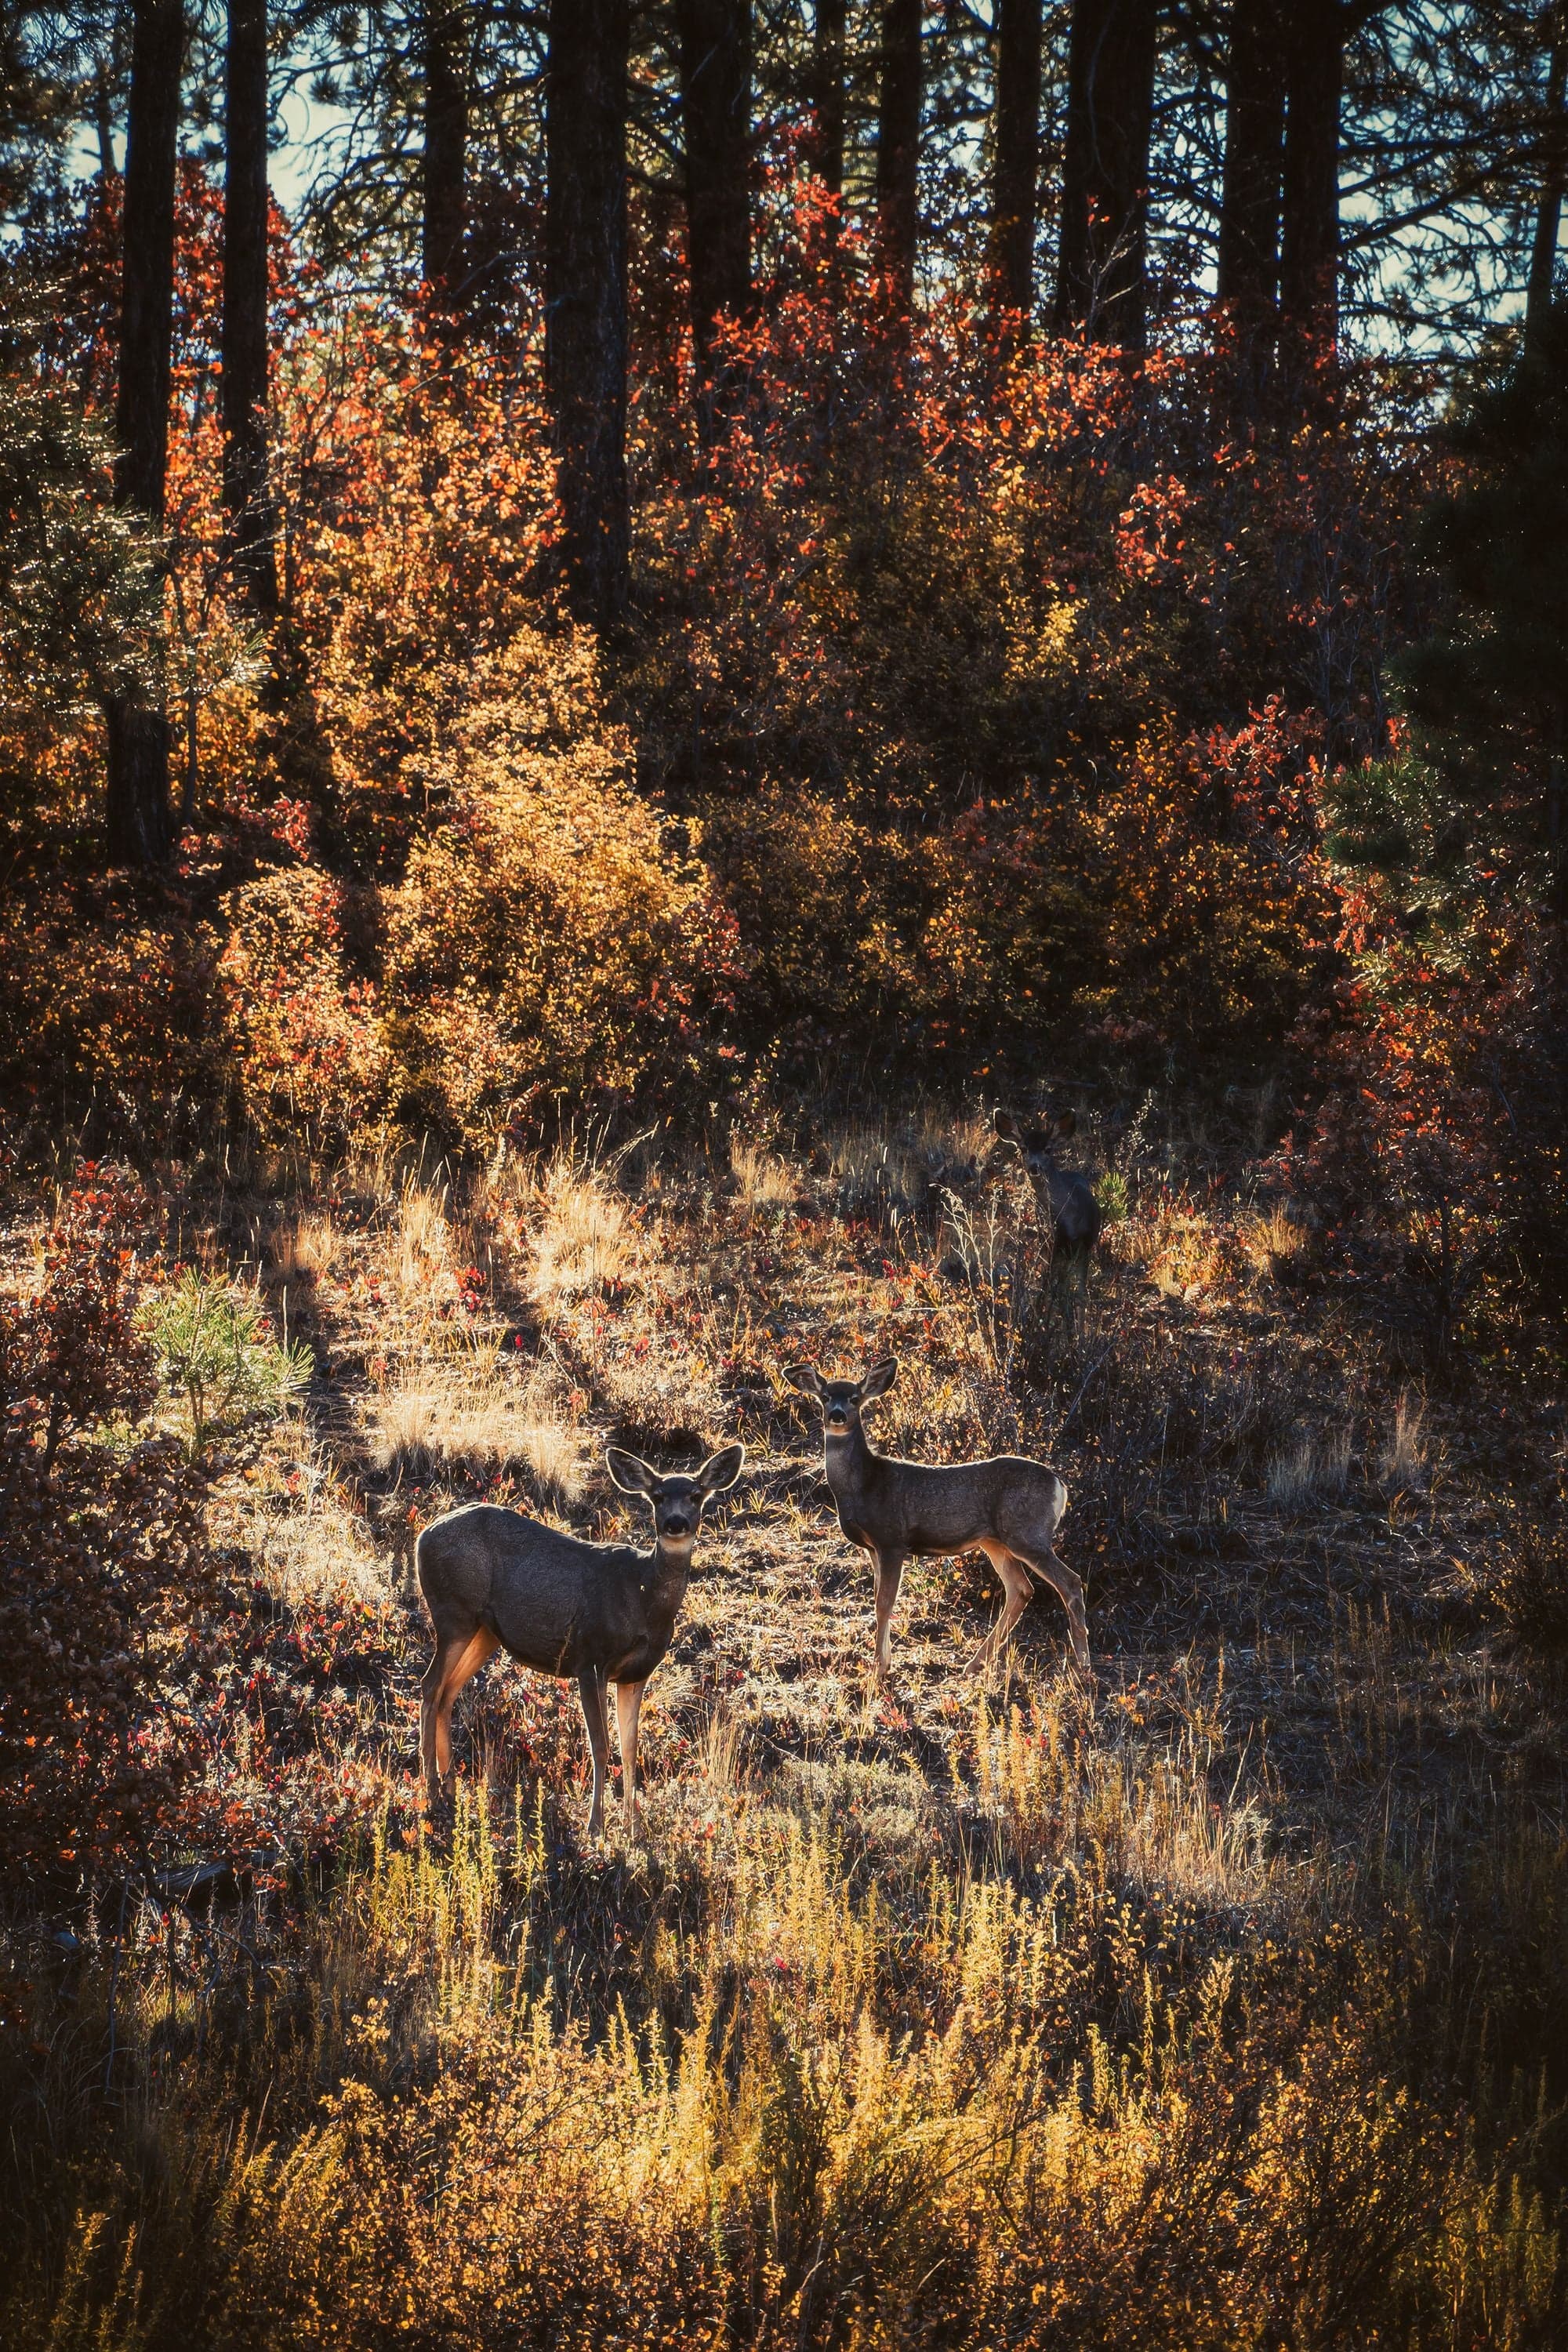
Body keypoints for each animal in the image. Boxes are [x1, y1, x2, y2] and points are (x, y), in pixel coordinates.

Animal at [416, 1442, 744, 1837]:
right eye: (658, 1496)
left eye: (696, 1495)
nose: (676, 1523)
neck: (643, 1598)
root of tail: (421, 1536)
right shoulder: (590, 1658)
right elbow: (600, 1745)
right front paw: (596, 1825)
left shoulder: (635, 1675)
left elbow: (631, 1746)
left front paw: (633, 1827)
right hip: (453, 1613)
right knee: (430, 1685)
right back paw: (432, 1790)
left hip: (485, 1632)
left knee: (448, 1692)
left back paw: (450, 1788)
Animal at [785, 1358, 1089, 1686]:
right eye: (825, 1396)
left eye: (855, 1398)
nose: (837, 1415)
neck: (862, 1486)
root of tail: (1060, 1485)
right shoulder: (872, 1547)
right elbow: (879, 1600)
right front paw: (884, 1662)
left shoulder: (892, 1540)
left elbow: (884, 1603)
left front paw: (878, 1668)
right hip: (996, 1542)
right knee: (1021, 1589)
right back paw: (974, 1664)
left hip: (1027, 1533)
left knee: (1070, 1582)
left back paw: (1081, 1667)